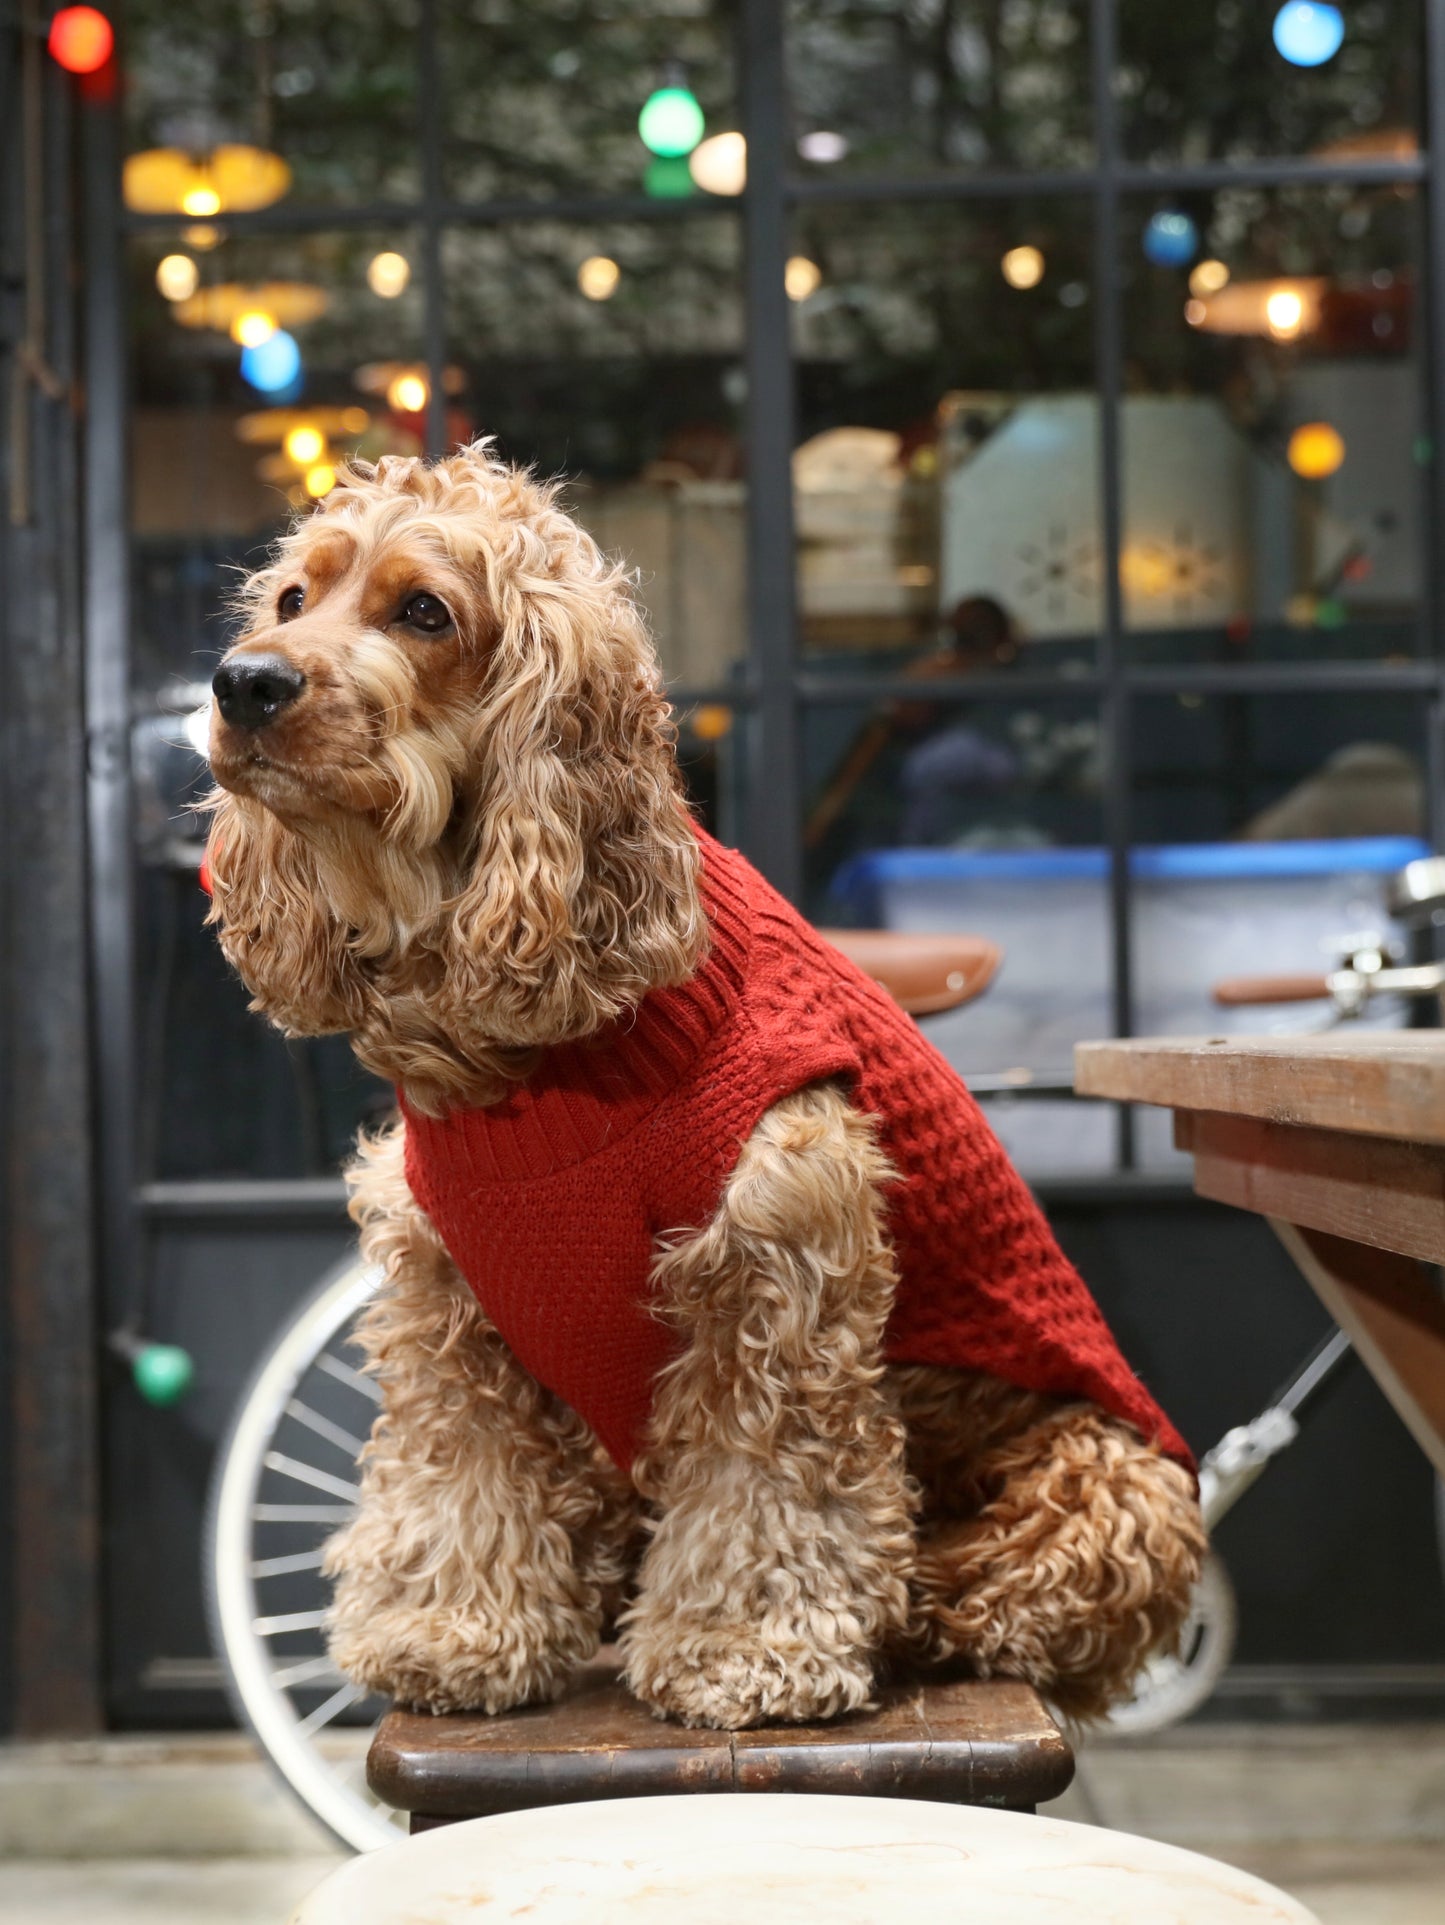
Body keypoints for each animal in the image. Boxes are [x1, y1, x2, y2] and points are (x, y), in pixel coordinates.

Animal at [201, 446, 1200, 1732]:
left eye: (423, 611)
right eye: (290, 598)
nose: (242, 683)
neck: (539, 1055)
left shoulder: (776, 1263)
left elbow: (763, 1472)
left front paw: (745, 1650)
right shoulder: (443, 1293)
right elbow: (465, 1464)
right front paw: (456, 1626)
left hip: (1116, 1483)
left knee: (1003, 1598)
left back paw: (910, 1605)